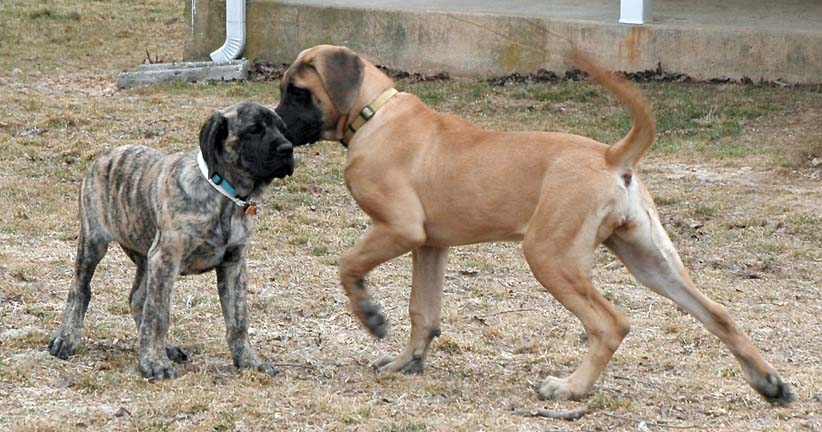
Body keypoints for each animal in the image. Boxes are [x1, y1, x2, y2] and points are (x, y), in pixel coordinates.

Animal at [48, 103, 292, 380]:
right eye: (253, 130)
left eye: (282, 129)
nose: (287, 150)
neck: (223, 197)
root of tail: (106, 154)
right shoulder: (166, 257)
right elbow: (158, 315)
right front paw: (154, 364)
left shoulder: (233, 264)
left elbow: (238, 319)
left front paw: (249, 360)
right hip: (93, 243)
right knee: (80, 290)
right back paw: (66, 339)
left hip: (144, 256)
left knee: (137, 299)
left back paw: (165, 348)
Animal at [276, 45, 800, 404]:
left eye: (298, 94)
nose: (277, 132)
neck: (373, 113)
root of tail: (612, 157)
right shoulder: (431, 245)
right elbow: (423, 313)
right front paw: (408, 362)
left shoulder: (399, 230)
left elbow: (348, 266)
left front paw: (370, 315)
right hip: (651, 259)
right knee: (718, 312)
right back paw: (768, 382)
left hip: (550, 256)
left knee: (611, 324)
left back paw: (570, 389)